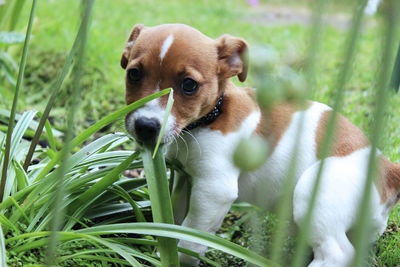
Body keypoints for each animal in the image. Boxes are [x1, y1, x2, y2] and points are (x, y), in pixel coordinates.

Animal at [122, 24, 400, 266]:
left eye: (189, 85)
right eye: (134, 74)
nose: (145, 125)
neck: (209, 119)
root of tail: (387, 168)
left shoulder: (214, 190)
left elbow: (190, 236)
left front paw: (178, 259)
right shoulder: (183, 179)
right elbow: (174, 221)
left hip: (313, 195)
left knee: (338, 253)